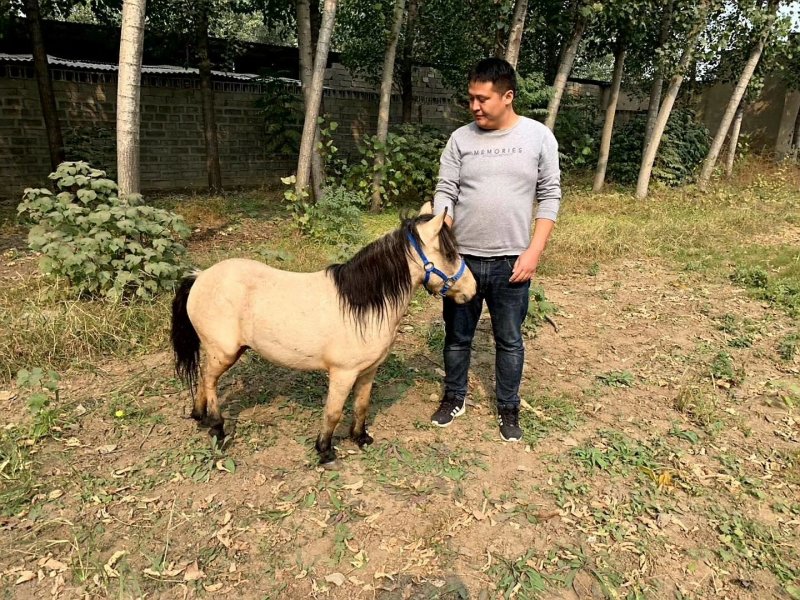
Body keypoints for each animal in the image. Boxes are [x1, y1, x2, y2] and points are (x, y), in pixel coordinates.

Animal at [170, 204, 477, 464]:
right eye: (449, 254)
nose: (472, 290)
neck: (361, 306)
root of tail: (200, 276)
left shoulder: (368, 370)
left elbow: (362, 405)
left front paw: (360, 438)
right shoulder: (342, 373)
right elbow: (333, 411)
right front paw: (325, 451)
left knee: (202, 377)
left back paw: (200, 418)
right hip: (223, 353)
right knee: (209, 381)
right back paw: (217, 428)